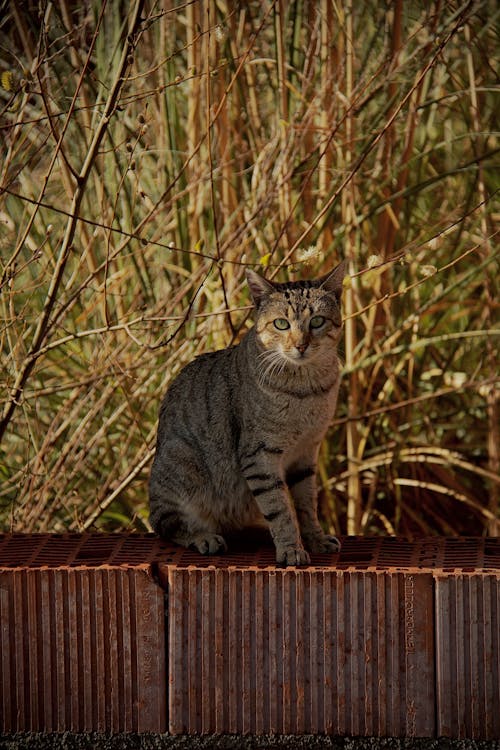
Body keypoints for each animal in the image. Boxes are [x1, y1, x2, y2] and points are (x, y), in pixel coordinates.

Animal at [148, 262, 344, 568]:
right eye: (281, 324)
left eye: (317, 322)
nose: (301, 345)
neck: (306, 389)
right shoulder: (260, 455)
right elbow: (279, 508)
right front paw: (291, 548)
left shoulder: (307, 453)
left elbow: (305, 504)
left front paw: (315, 538)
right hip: (182, 462)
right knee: (166, 524)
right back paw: (204, 537)